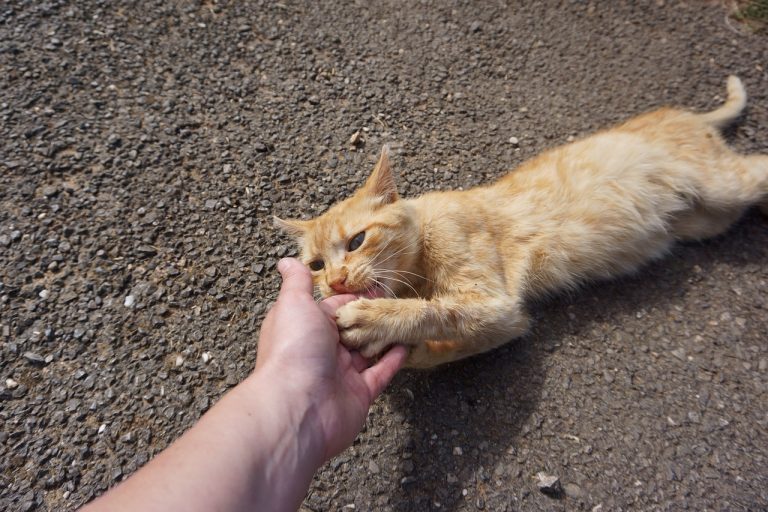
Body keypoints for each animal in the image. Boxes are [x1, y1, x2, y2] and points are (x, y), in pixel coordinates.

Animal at [272, 77, 764, 368]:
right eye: (315, 266)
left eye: (357, 241)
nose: (335, 281)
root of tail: (681, 113)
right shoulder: (506, 323)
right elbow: (441, 347)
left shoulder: (496, 302)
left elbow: (437, 310)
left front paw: (376, 320)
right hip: (707, 218)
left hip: (726, 185)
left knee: (758, 165)